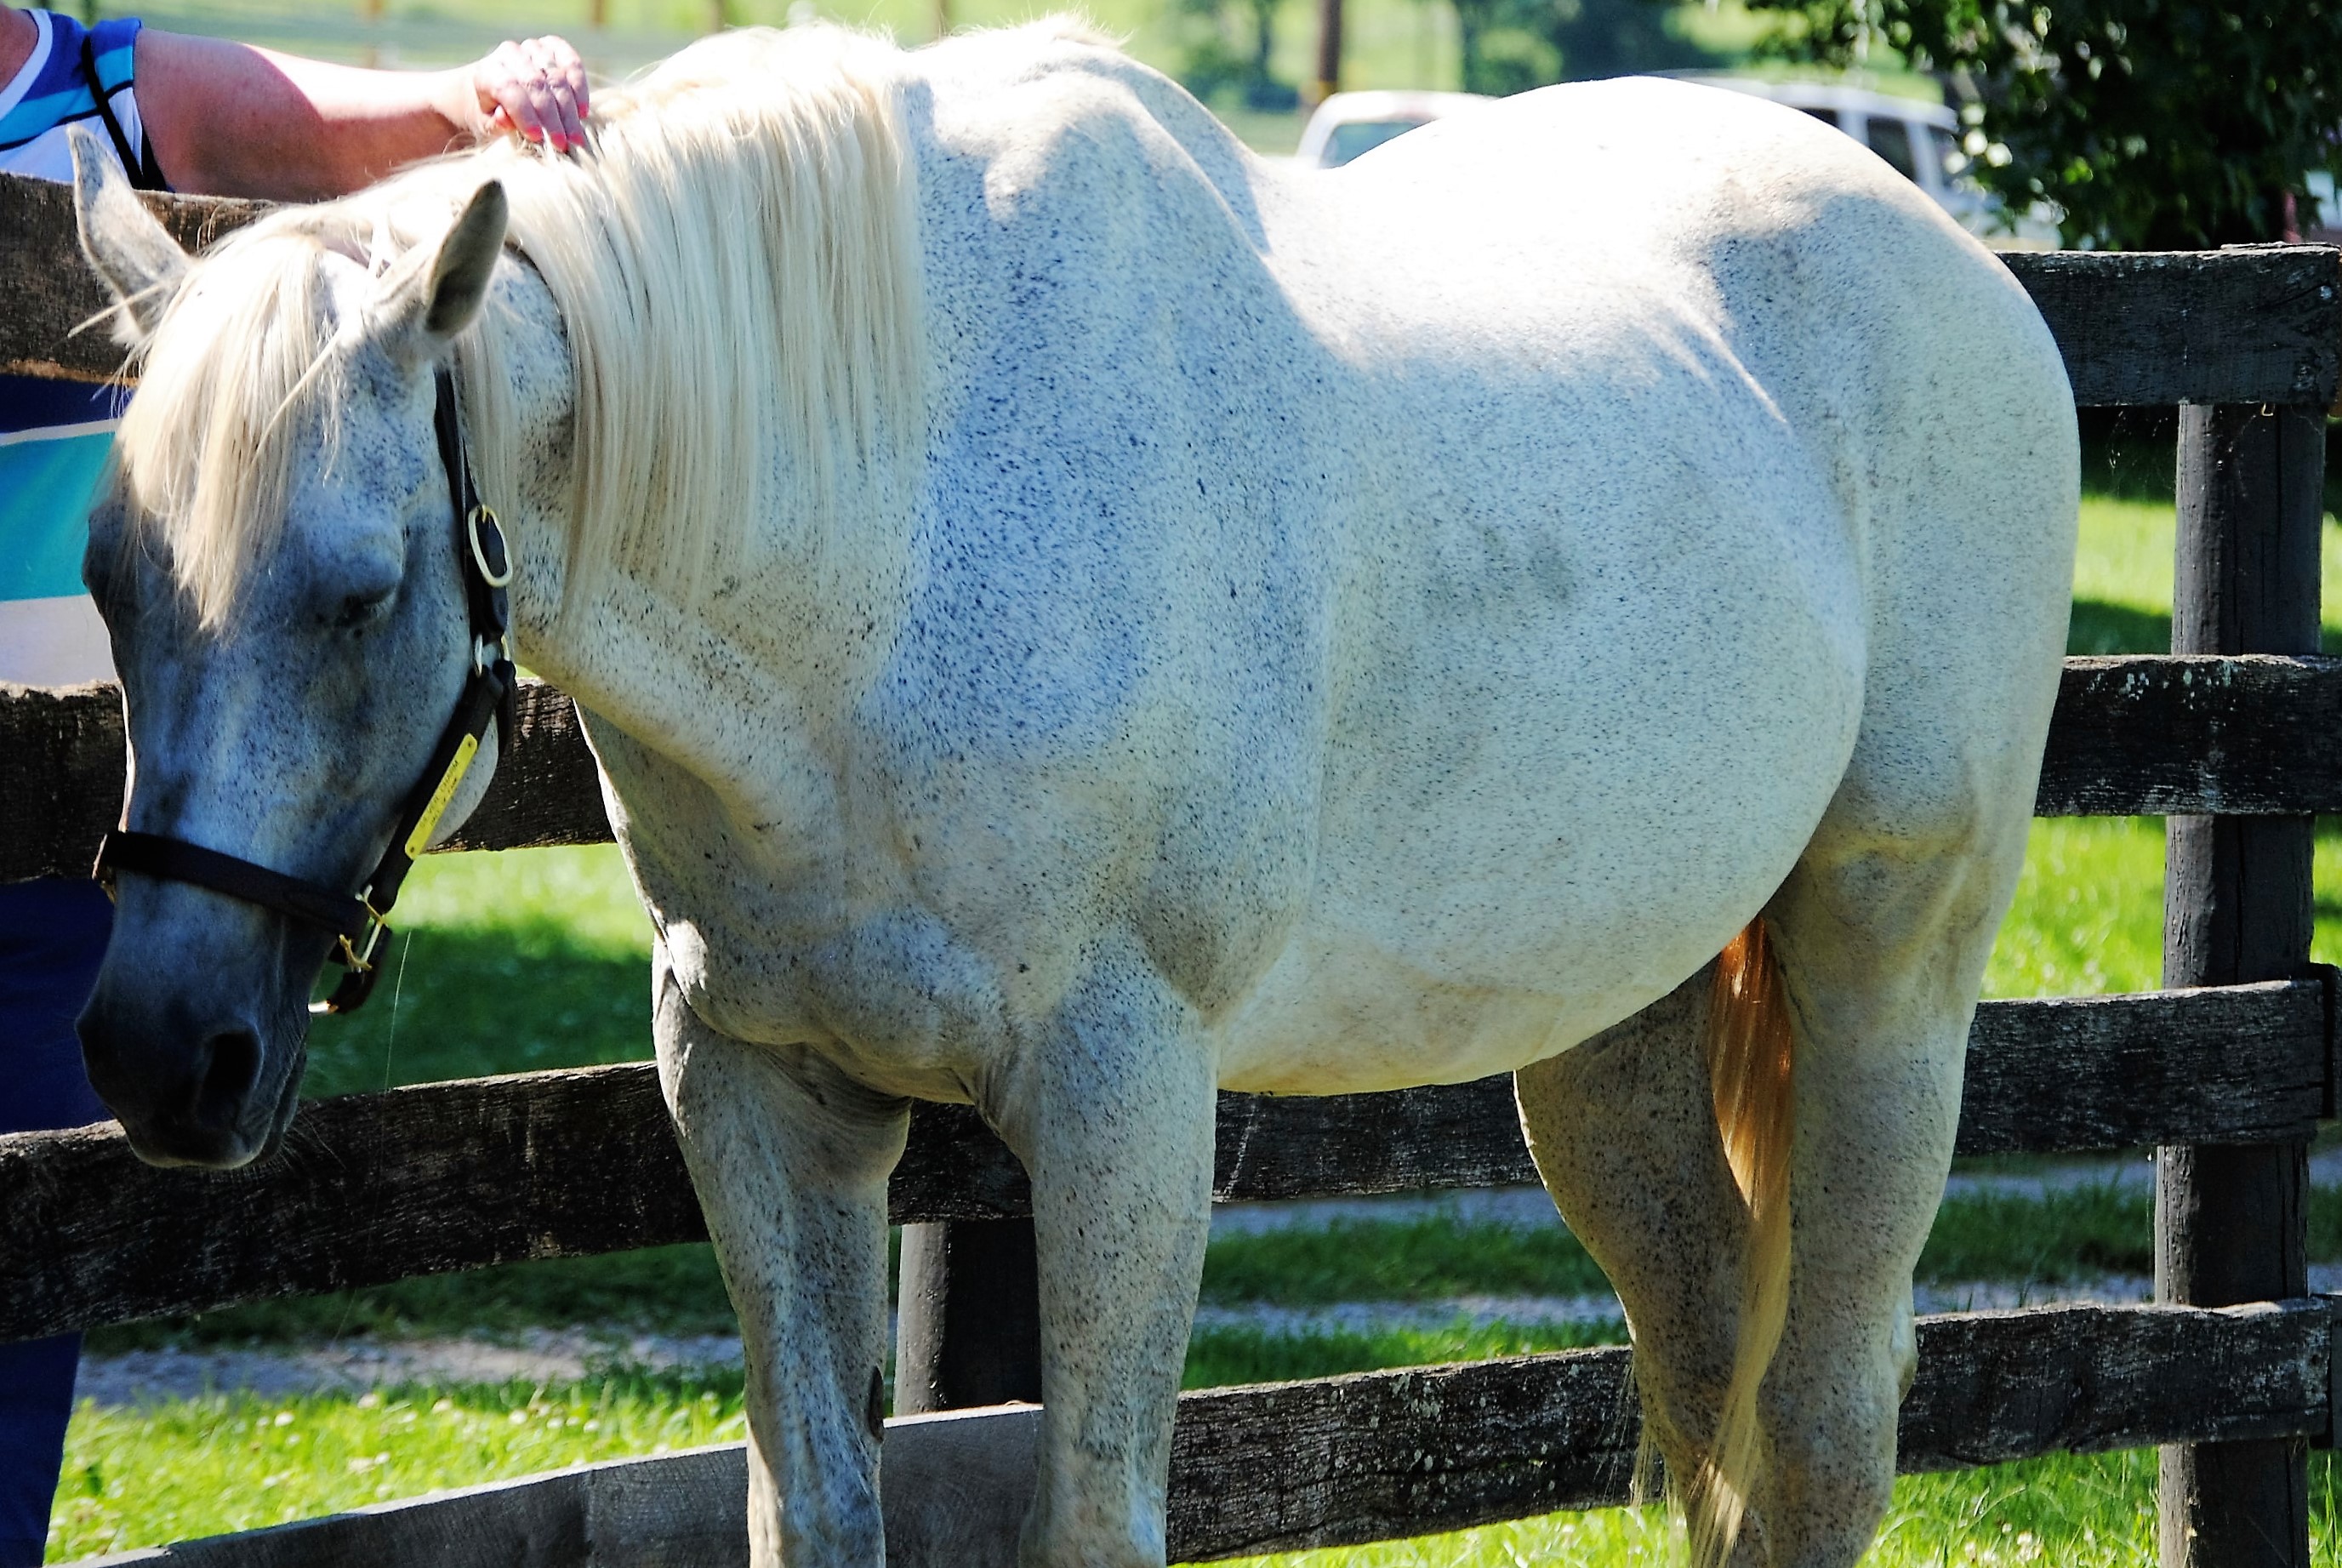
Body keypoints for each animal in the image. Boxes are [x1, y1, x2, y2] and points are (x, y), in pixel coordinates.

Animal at [73, 24, 2079, 1565]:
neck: (890, 523)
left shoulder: (1126, 1100)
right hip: (1609, 1036)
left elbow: (1094, 1512)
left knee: (1823, 1421)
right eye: (107, 582)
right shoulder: (757, 1089)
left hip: (1887, 972)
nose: (161, 1054)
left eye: (357, 593)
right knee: (1700, 1360)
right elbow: (815, 1501)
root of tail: (1973, 274)